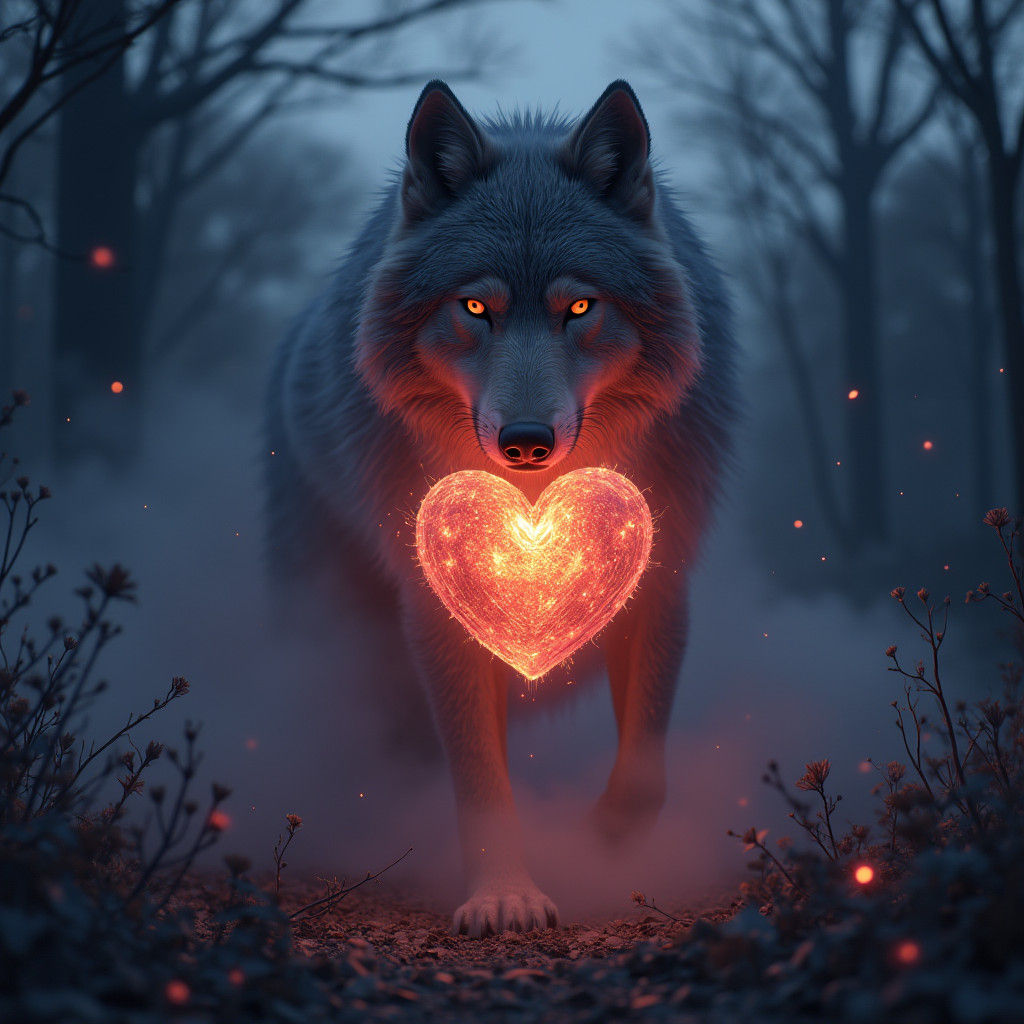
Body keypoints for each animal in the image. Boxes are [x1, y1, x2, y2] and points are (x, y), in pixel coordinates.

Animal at [264, 80, 737, 937]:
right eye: (475, 308)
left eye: (579, 308)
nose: (524, 443)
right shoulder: (437, 602)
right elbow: (481, 777)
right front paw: (503, 893)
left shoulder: (659, 575)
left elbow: (643, 770)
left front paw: (599, 846)